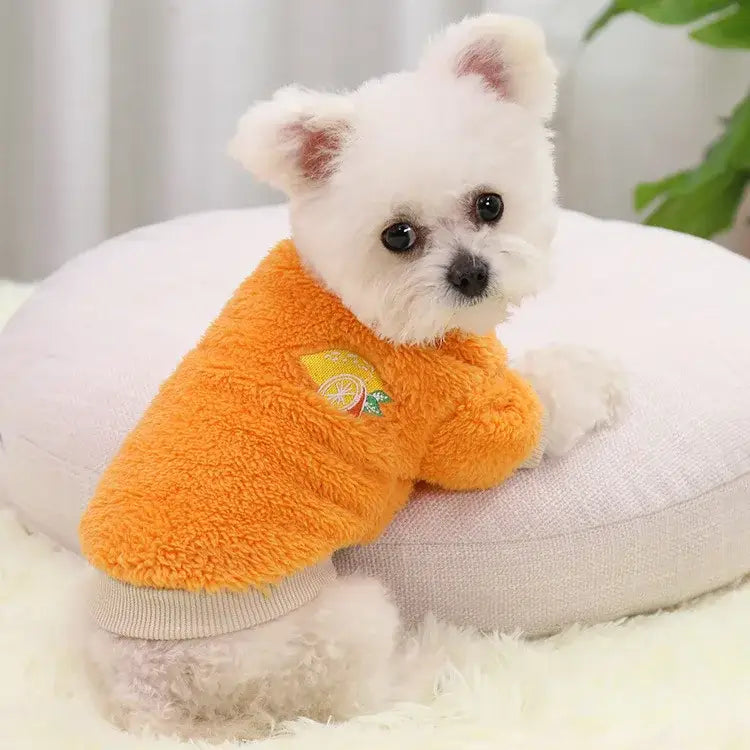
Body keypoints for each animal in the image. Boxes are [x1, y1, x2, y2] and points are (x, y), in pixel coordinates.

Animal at [88, 13, 624, 748]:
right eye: (398, 236)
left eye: (490, 204)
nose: (471, 273)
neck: (360, 305)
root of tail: (148, 694)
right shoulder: (459, 426)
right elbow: (539, 404)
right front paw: (596, 375)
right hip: (333, 623)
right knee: (368, 696)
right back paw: (445, 655)